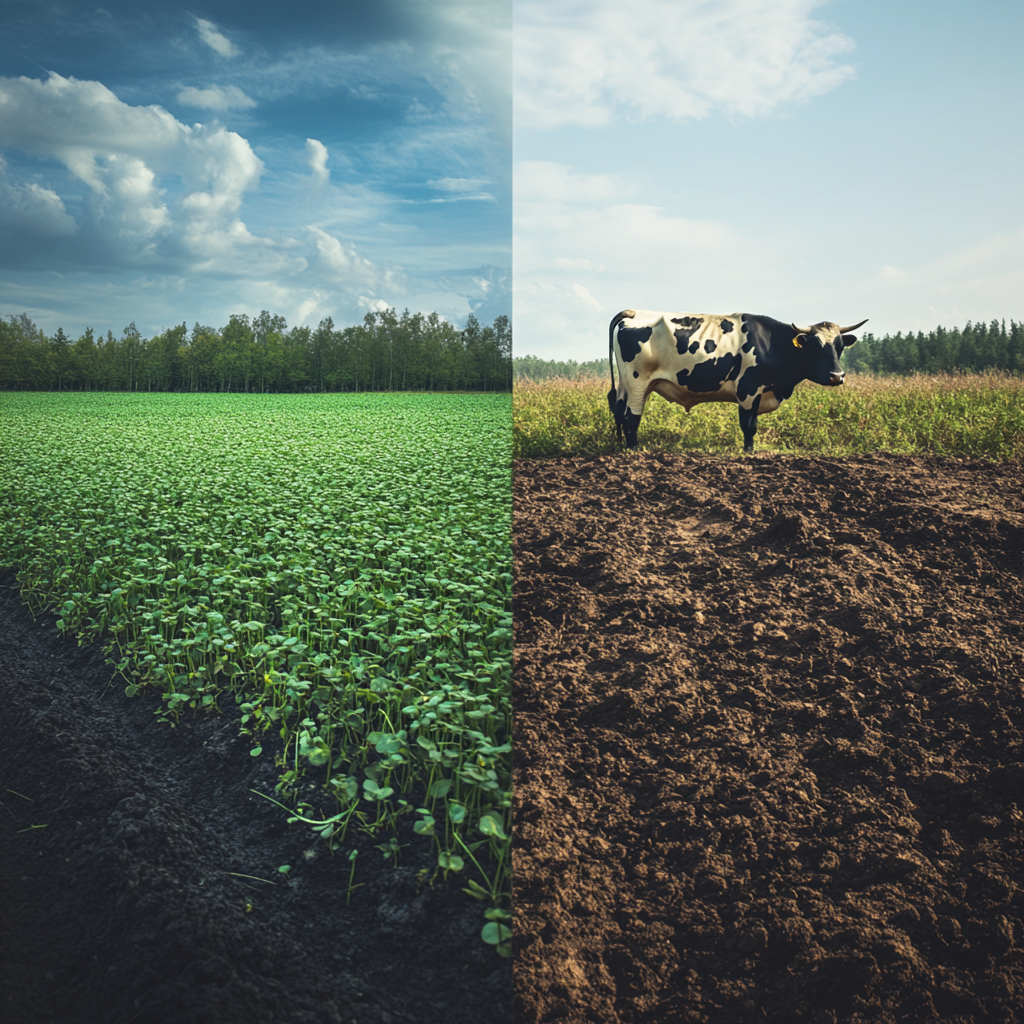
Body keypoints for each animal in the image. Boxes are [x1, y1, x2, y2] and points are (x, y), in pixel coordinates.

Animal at [610, 307, 868, 452]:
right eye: (815, 347)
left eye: (840, 346)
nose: (837, 376)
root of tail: (635, 312)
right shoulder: (748, 389)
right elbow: (749, 425)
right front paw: (748, 452)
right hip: (638, 382)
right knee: (631, 417)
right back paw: (634, 451)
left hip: (626, 385)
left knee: (620, 413)